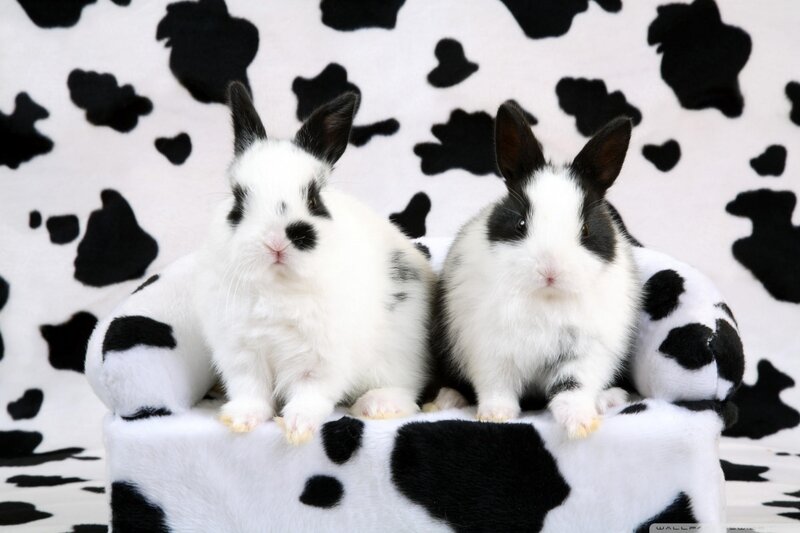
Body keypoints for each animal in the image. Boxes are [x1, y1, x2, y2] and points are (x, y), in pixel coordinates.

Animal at [193, 83, 435, 444]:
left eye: (313, 198)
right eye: (238, 200)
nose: (277, 241)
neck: (278, 287)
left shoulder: (320, 359)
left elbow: (310, 393)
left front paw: (297, 426)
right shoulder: (242, 354)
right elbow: (251, 391)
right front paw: (240, 420)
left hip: (400, 352)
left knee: (407, 390)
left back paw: (378, 406)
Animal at [428, 101, 640, 439]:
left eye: (586, 230)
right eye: (520, 224)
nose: (550, 270)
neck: (546, 297)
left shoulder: (585, 352)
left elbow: (573, 387)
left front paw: (581, 424)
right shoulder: (490, 350)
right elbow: (497, 386)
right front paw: (495, 415)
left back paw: (610, 398)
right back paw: (448, 398)